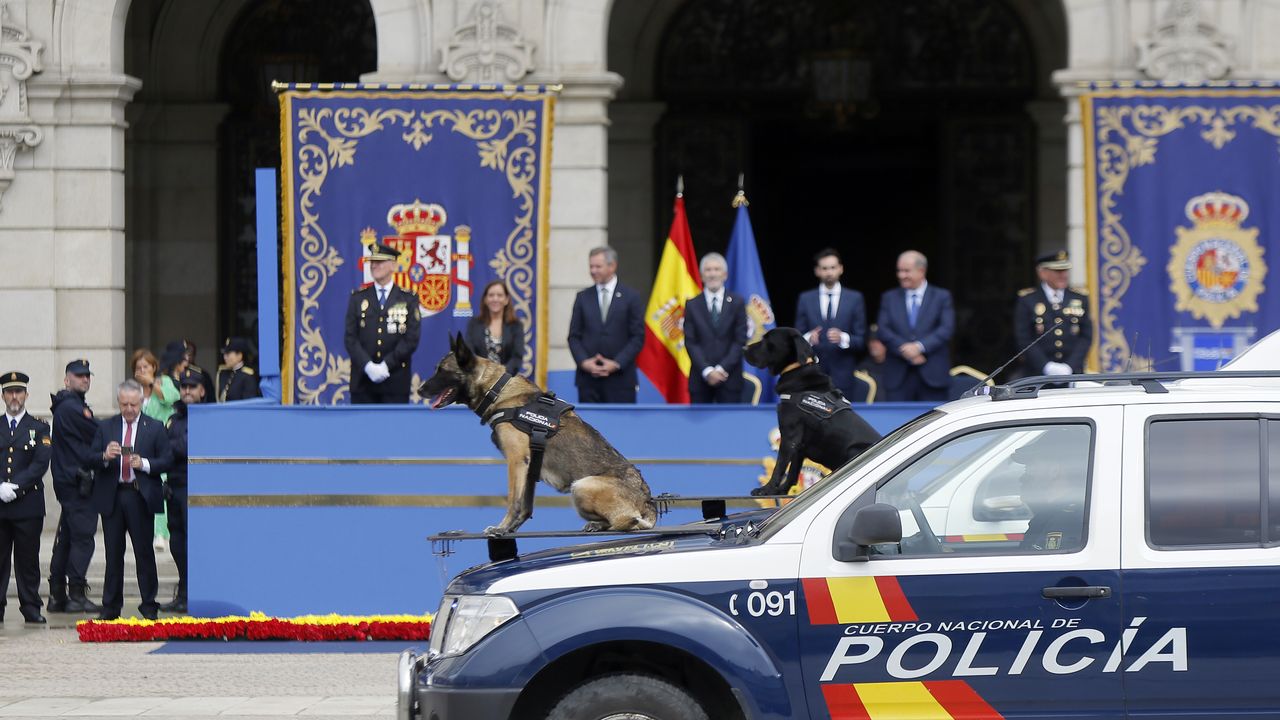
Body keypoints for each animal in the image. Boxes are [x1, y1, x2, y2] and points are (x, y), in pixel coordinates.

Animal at [422, 333, 660, 532]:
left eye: (442, 371)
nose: (419, 389)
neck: (497, 390)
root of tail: (648, 503)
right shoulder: (528, 468)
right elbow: (526, 505)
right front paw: (511, 529)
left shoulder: (517, 460)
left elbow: (514, 500)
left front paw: (501, 528)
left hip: (581, 486)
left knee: (625, 522)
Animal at [742, 325, 880, 491]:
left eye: (767, 340)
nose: (744, 348)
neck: (797, 371)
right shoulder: (799, 445)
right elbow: (793, 472)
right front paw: (781, 491)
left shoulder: (789, 437)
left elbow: (779, 466)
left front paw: (766, 489)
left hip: (853, 450)